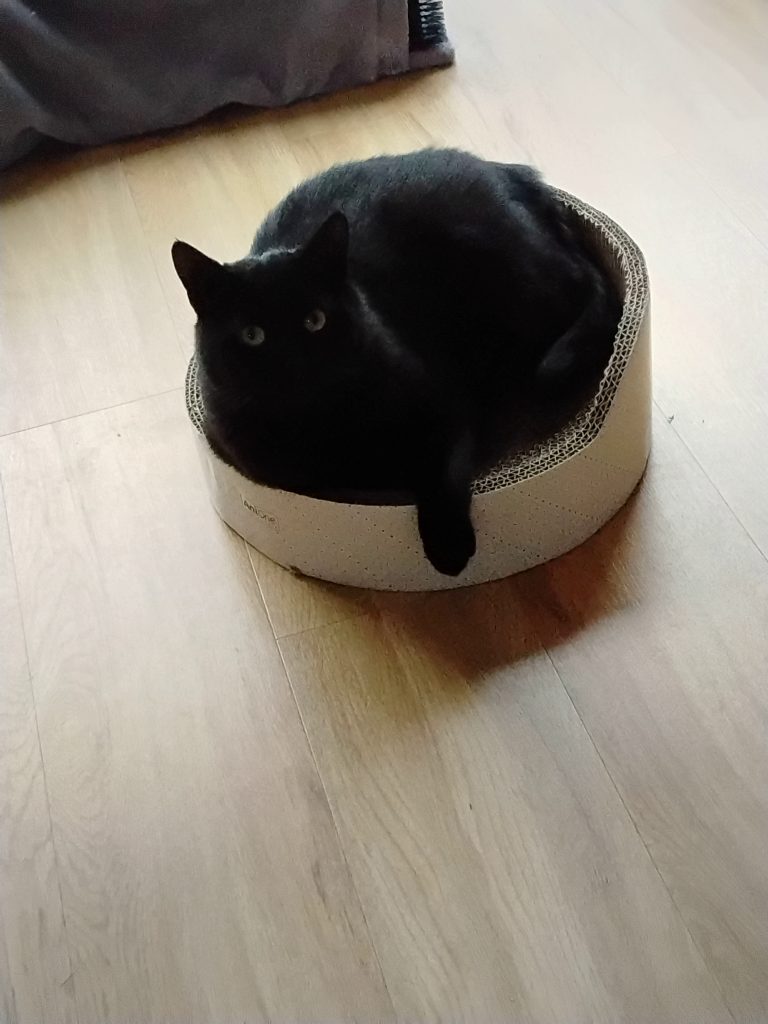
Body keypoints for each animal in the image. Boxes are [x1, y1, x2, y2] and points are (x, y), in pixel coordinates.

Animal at [172, 148, 620, 576]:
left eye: (315, 320)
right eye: (252, 335)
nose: (294, 362)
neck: (325, 424)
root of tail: (514, 174)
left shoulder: (446, 407)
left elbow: (443, 471)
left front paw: (449, 548)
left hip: (515, 280)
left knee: (587, 295)